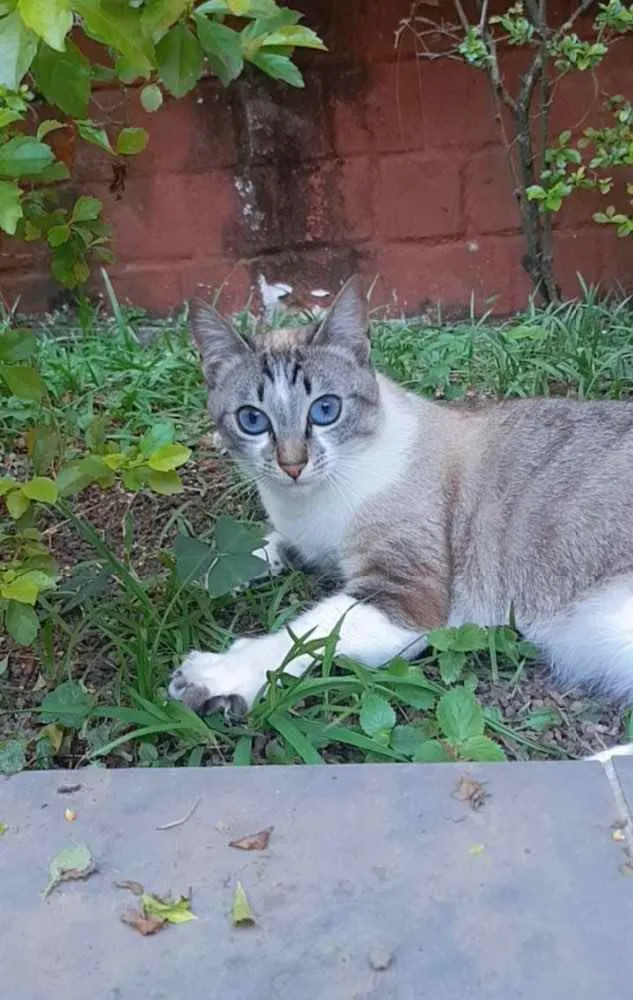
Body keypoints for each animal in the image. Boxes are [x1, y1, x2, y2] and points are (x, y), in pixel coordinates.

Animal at [167, 270, 632, 732]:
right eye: (252, 420)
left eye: (325, 410)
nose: (292, 465)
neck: (308, 504)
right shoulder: (308, 542)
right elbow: (263, 548)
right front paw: (204, 569)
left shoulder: (404, 596)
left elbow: (305, 635)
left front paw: (219, 674)